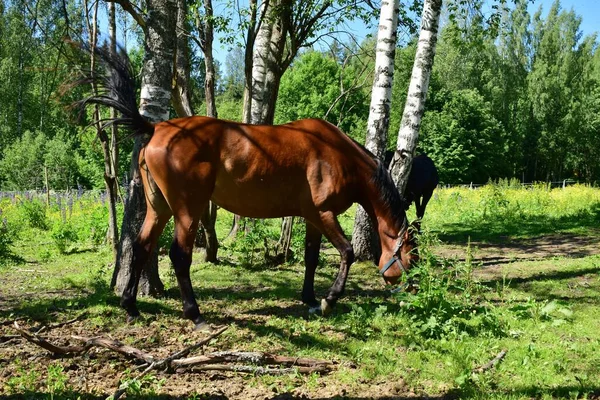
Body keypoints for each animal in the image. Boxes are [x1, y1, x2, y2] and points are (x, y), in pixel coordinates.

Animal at [77, 48, 418, 332]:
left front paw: (309, 298)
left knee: (140, 247)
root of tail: (157, 127)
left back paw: (131, 307)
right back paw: (195, 314)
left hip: (158, 208)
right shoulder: (324, 213)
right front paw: (328, 300)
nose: (414, 290)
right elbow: (347, 252)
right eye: (412, 257)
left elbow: (311, 258)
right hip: (187, 209)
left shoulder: (313, 217)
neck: (336, 153)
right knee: (178, 255)